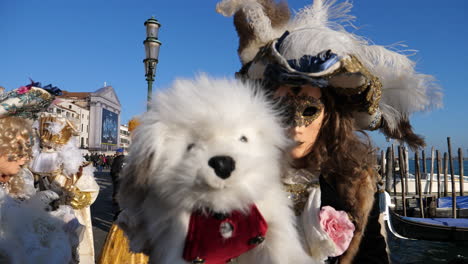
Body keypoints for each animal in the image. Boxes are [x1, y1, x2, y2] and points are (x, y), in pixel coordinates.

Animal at [117, 75, 314, 262]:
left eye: (243, 139)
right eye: (191, 146)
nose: (223, 163)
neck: (222, 211)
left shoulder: (270, 224)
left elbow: (281, 249)